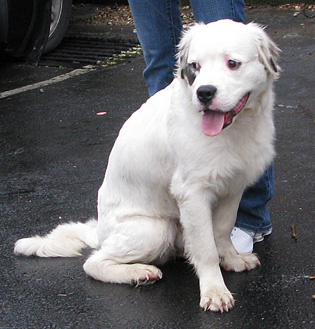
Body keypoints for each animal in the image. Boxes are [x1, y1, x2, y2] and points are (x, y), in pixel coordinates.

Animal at [14, 19, 282, 312]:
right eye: (195, 66)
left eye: (232, 63)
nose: (204, 93)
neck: (235, 129)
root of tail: (100, 232)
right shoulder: (192, 193)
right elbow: (206, 247)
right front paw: (214, 290)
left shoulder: (233, 187)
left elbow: (222, 232)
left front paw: (233, 260)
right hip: (155, 229)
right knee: (93, 262)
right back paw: (137, 271)